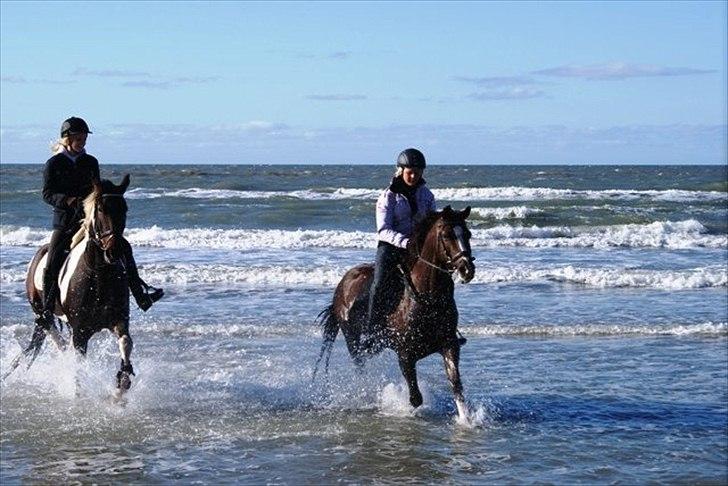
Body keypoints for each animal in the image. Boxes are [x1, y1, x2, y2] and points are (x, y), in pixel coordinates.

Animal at [3, 175, 135, 392]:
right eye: (101, 209)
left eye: (124, 209)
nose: (114, 251)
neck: (99, 276)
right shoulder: (80, 332)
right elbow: (78, 363)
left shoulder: (119, 320)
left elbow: (126, 343)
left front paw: (122, 386)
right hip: (44, 314)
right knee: (59, 342)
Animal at [314, 207, 478, 420]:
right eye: (446, 235)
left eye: (468, 234)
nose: (467, 269)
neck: (428, 299)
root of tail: (342, 285)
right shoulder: (405, 356)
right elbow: (415, 398)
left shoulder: (449, 345)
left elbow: (456, 386)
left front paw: (466, 420)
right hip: (354, 343)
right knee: (360, 369)